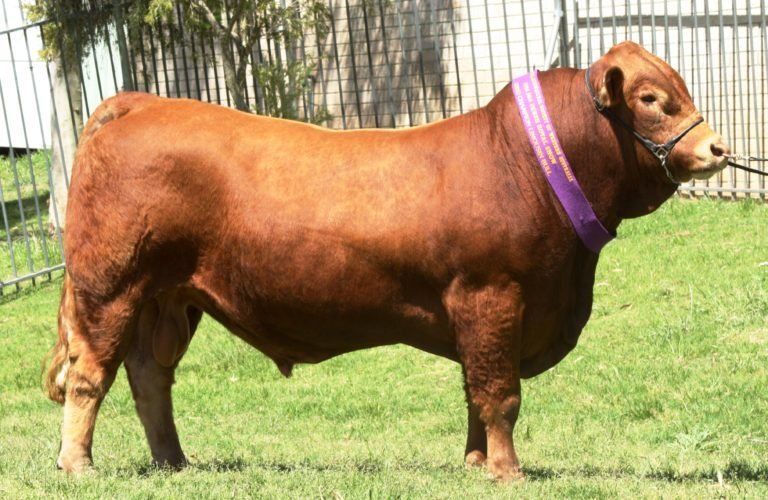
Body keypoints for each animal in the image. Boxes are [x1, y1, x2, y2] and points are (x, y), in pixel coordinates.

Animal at [46, 41, 729, 481]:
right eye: (651, 98)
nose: (717, 148)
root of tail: (138, 101)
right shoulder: (493, 295)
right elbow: (499, 393)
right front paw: (507, 471)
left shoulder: (483, 315)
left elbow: (474, 389)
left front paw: (475, 463)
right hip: (111, 286)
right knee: (90, 376)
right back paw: (79, 466)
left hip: (168, 297)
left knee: (149, 379)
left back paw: (173, 462)